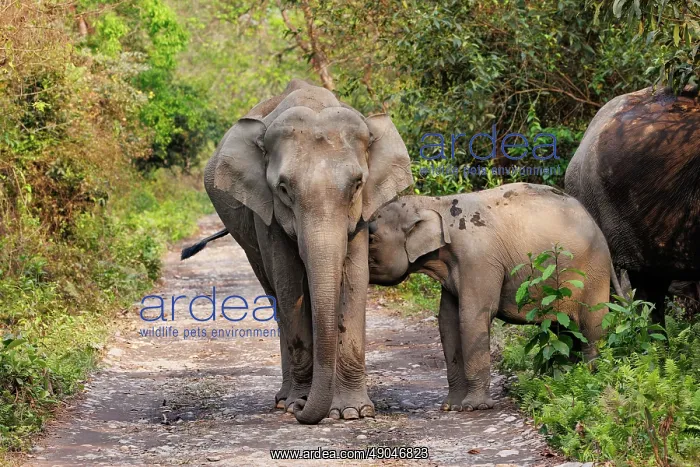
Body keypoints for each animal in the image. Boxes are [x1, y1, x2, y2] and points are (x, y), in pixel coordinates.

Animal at [187, 79, 413, 424]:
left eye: (357, 185)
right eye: (283, 189)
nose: (303, 412)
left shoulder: (362, 213)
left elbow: (354, 278)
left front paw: (352, 412)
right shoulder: (266, 211)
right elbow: (289, 279)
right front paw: (299, 404)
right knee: (274, 292)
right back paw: (284, 400)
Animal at [367, 183, 615, 411]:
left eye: (371, 238)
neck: (436, 204)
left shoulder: (478, 259)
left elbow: (473, 316)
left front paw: (473, 407)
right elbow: (447, 321)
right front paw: (451, 407)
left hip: (593, 274)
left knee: (591, 327)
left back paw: (589, 377)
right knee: (566, 331)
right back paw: (566, 378)